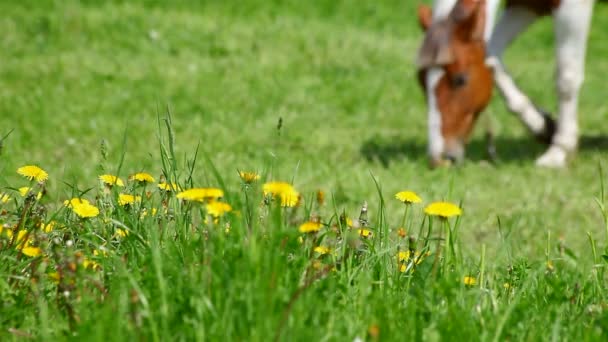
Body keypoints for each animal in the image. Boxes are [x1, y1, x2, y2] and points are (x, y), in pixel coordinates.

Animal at [418, 0, 592, 167]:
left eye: (460, 80)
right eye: (420, 80)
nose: (438, 160)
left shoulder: (572, 6)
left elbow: (567, 79)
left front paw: (559, 152)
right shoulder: (527, 5)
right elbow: (492, 56)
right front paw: (544, 127)